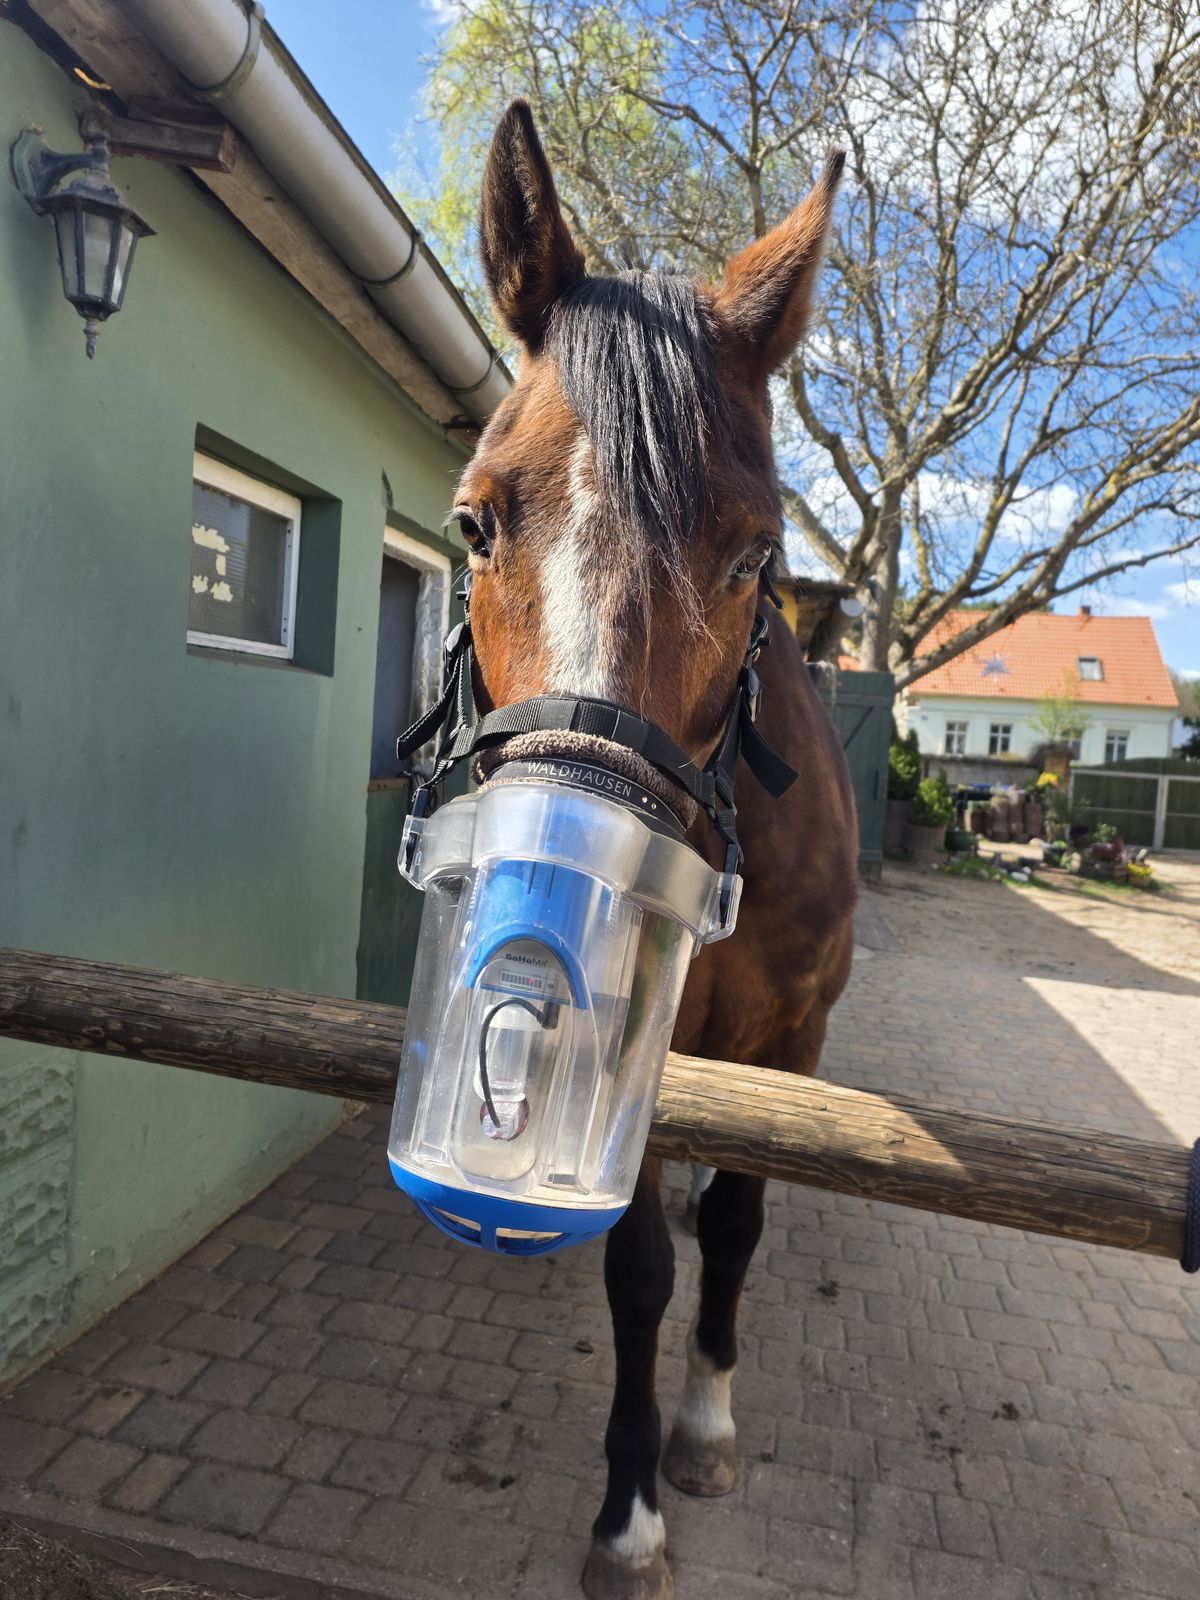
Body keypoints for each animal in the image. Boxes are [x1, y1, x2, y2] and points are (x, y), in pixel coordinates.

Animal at [451, 100, 858, 1600]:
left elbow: (740, 1227)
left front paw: (706, 1425)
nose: (565, 867)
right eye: (473, 520)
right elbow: (633, 1266)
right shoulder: (629, 1033)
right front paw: (626, 1514)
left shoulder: (797, 1039)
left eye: (755, 557)